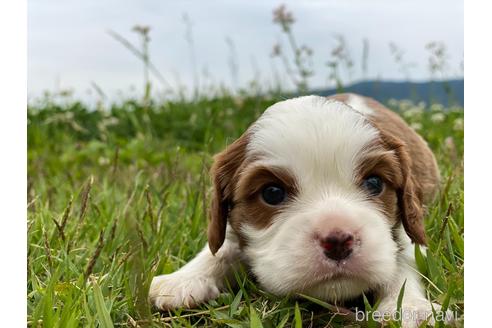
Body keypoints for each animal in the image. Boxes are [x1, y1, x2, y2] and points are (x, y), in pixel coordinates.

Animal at [150, 94, 450, 326]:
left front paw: (408, 307)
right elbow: (221, 247)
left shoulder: (408, 229)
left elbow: (404, 260)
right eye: (272, 193)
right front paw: (182, 278)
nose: (337, 240)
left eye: (374, 183)